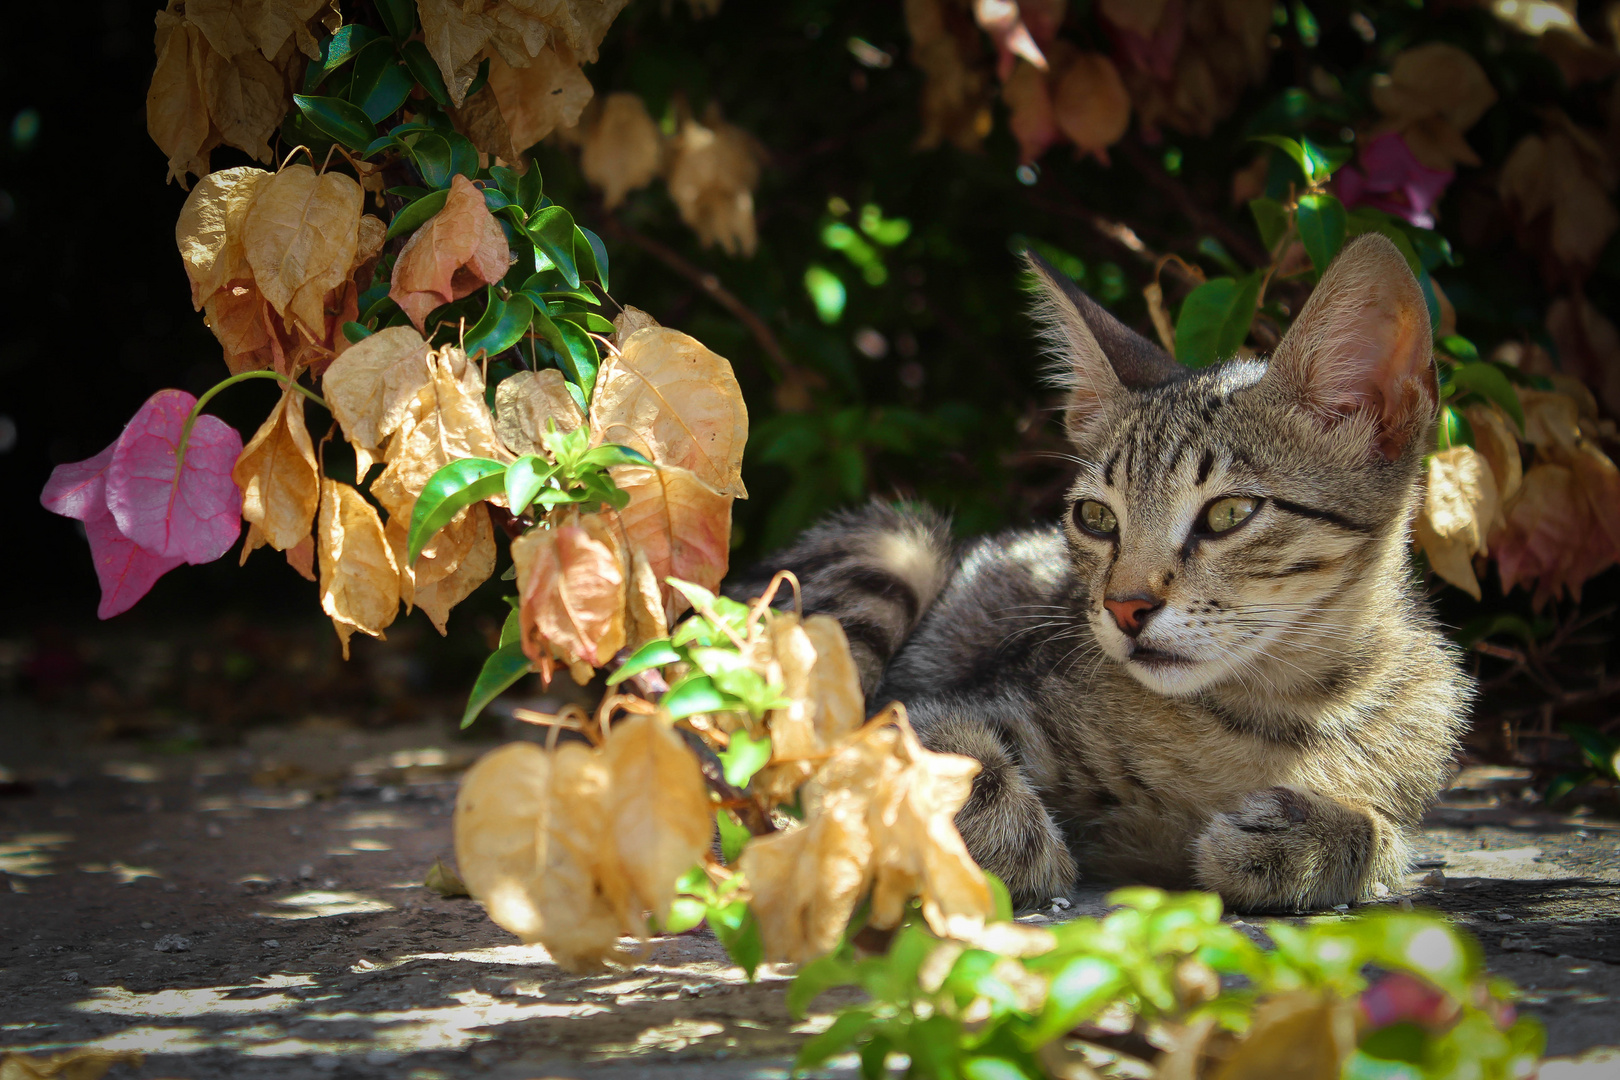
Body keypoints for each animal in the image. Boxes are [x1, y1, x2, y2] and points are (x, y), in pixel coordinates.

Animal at [741, 234, 1477, 913]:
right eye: (1096, 517)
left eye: (1229, 514)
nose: (1125, 607)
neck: (1274, 712)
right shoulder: (931, 702)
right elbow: (931, 753)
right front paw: (1007, 843)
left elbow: (1389, 839)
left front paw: (1311, 838)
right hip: (896, 544)